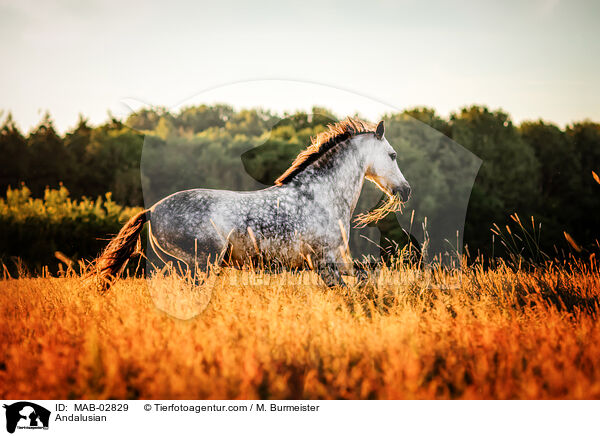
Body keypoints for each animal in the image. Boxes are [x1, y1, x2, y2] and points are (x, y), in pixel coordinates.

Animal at [92, 117, 412, 292]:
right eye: (393, 155)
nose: (406, 191)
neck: (320, 197)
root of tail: (152, 210)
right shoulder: (323, 264)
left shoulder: (340, 261)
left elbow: (367, 274)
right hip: (201, 266)